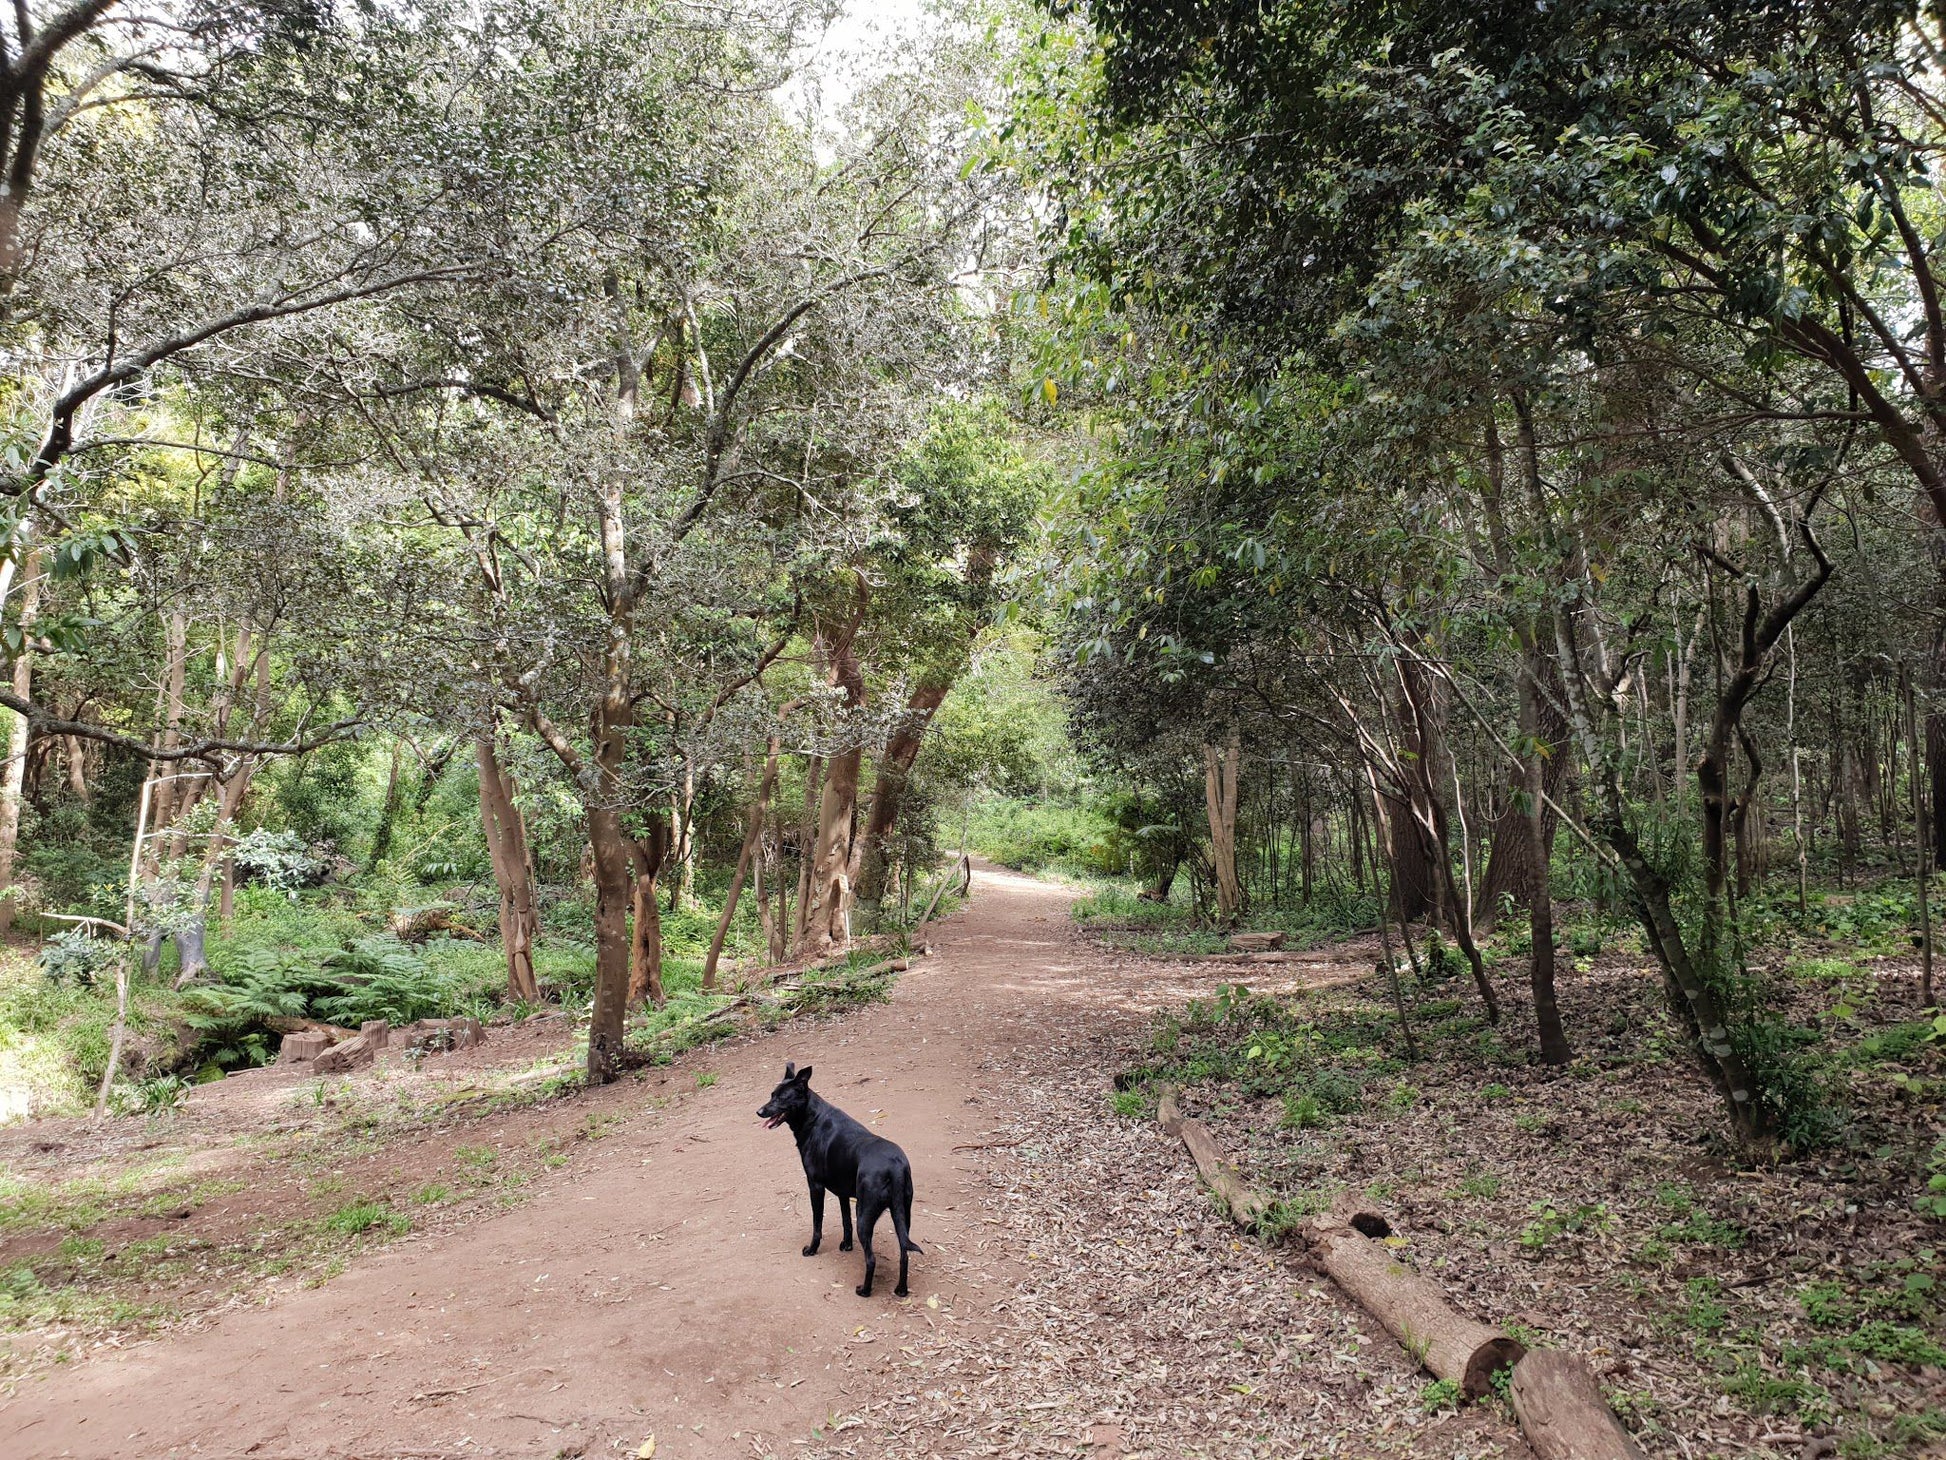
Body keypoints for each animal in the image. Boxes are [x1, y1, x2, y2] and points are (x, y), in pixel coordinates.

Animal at [751, 1066, 918, 1300]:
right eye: (771, 1095)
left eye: (782, 1098)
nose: (759, 1111)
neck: (812, 1119)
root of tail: (895, 1166)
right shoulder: (843, 1193)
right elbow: (845, 1221)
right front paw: (847, 1245)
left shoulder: (815, 1187)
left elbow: (817, 1224)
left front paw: (812, 1249)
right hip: (902, 1213)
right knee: (904, 1252)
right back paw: (901, 1290)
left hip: (865, 1214)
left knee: (871, 1259)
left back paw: (864, 1290)